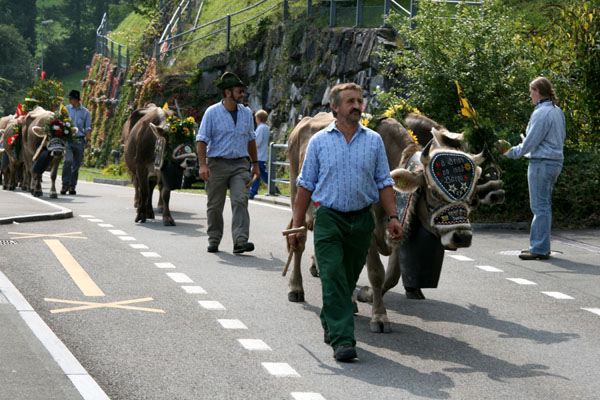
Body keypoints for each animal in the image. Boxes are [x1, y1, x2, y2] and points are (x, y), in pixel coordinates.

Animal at [284, 111, 504, 332]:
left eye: (470, 193)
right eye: (434, 192)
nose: (462, 237)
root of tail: (302, 124)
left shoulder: (399, 229)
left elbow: (391, 276)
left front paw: (367, 295)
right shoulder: (368, 235)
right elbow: (376, 273)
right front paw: (379, 317)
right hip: (297, 196)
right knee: (299, 242)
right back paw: (296, 288)